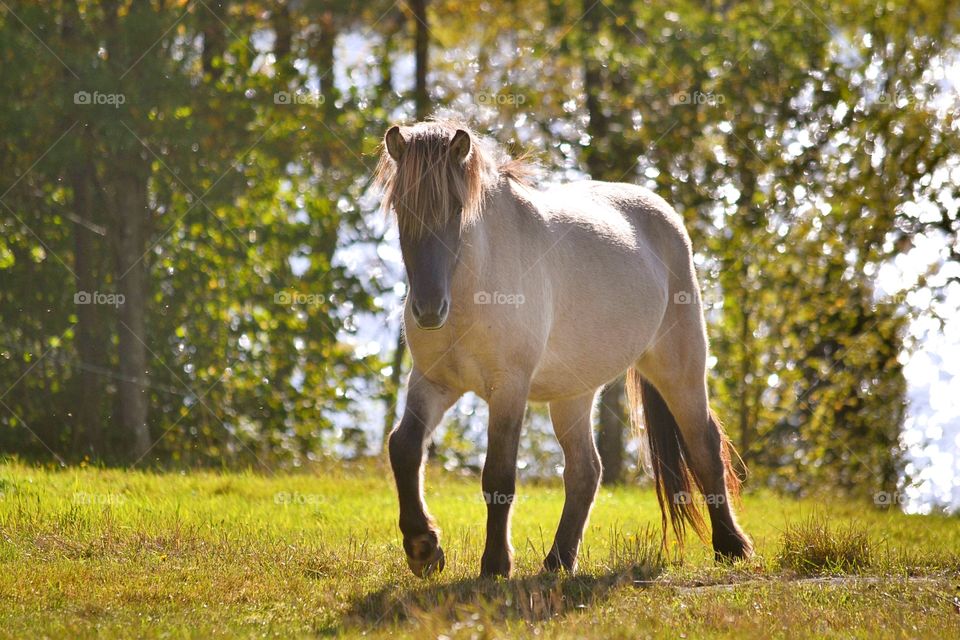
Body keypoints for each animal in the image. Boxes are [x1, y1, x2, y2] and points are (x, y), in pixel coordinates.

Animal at [372, 117, 752, 576]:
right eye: (400, 208)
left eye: (457, 210)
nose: (429, 310)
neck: (471, 286)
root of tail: (664, 215)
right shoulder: (434, 381)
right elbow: (404, 447)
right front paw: (424, 547)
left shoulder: (509, 387)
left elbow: (498, 476)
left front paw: (495, 565)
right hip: (574, 393)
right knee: (586, 471)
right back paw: (558, 561)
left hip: (679, 368)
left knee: (704, 445)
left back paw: (731, 547)